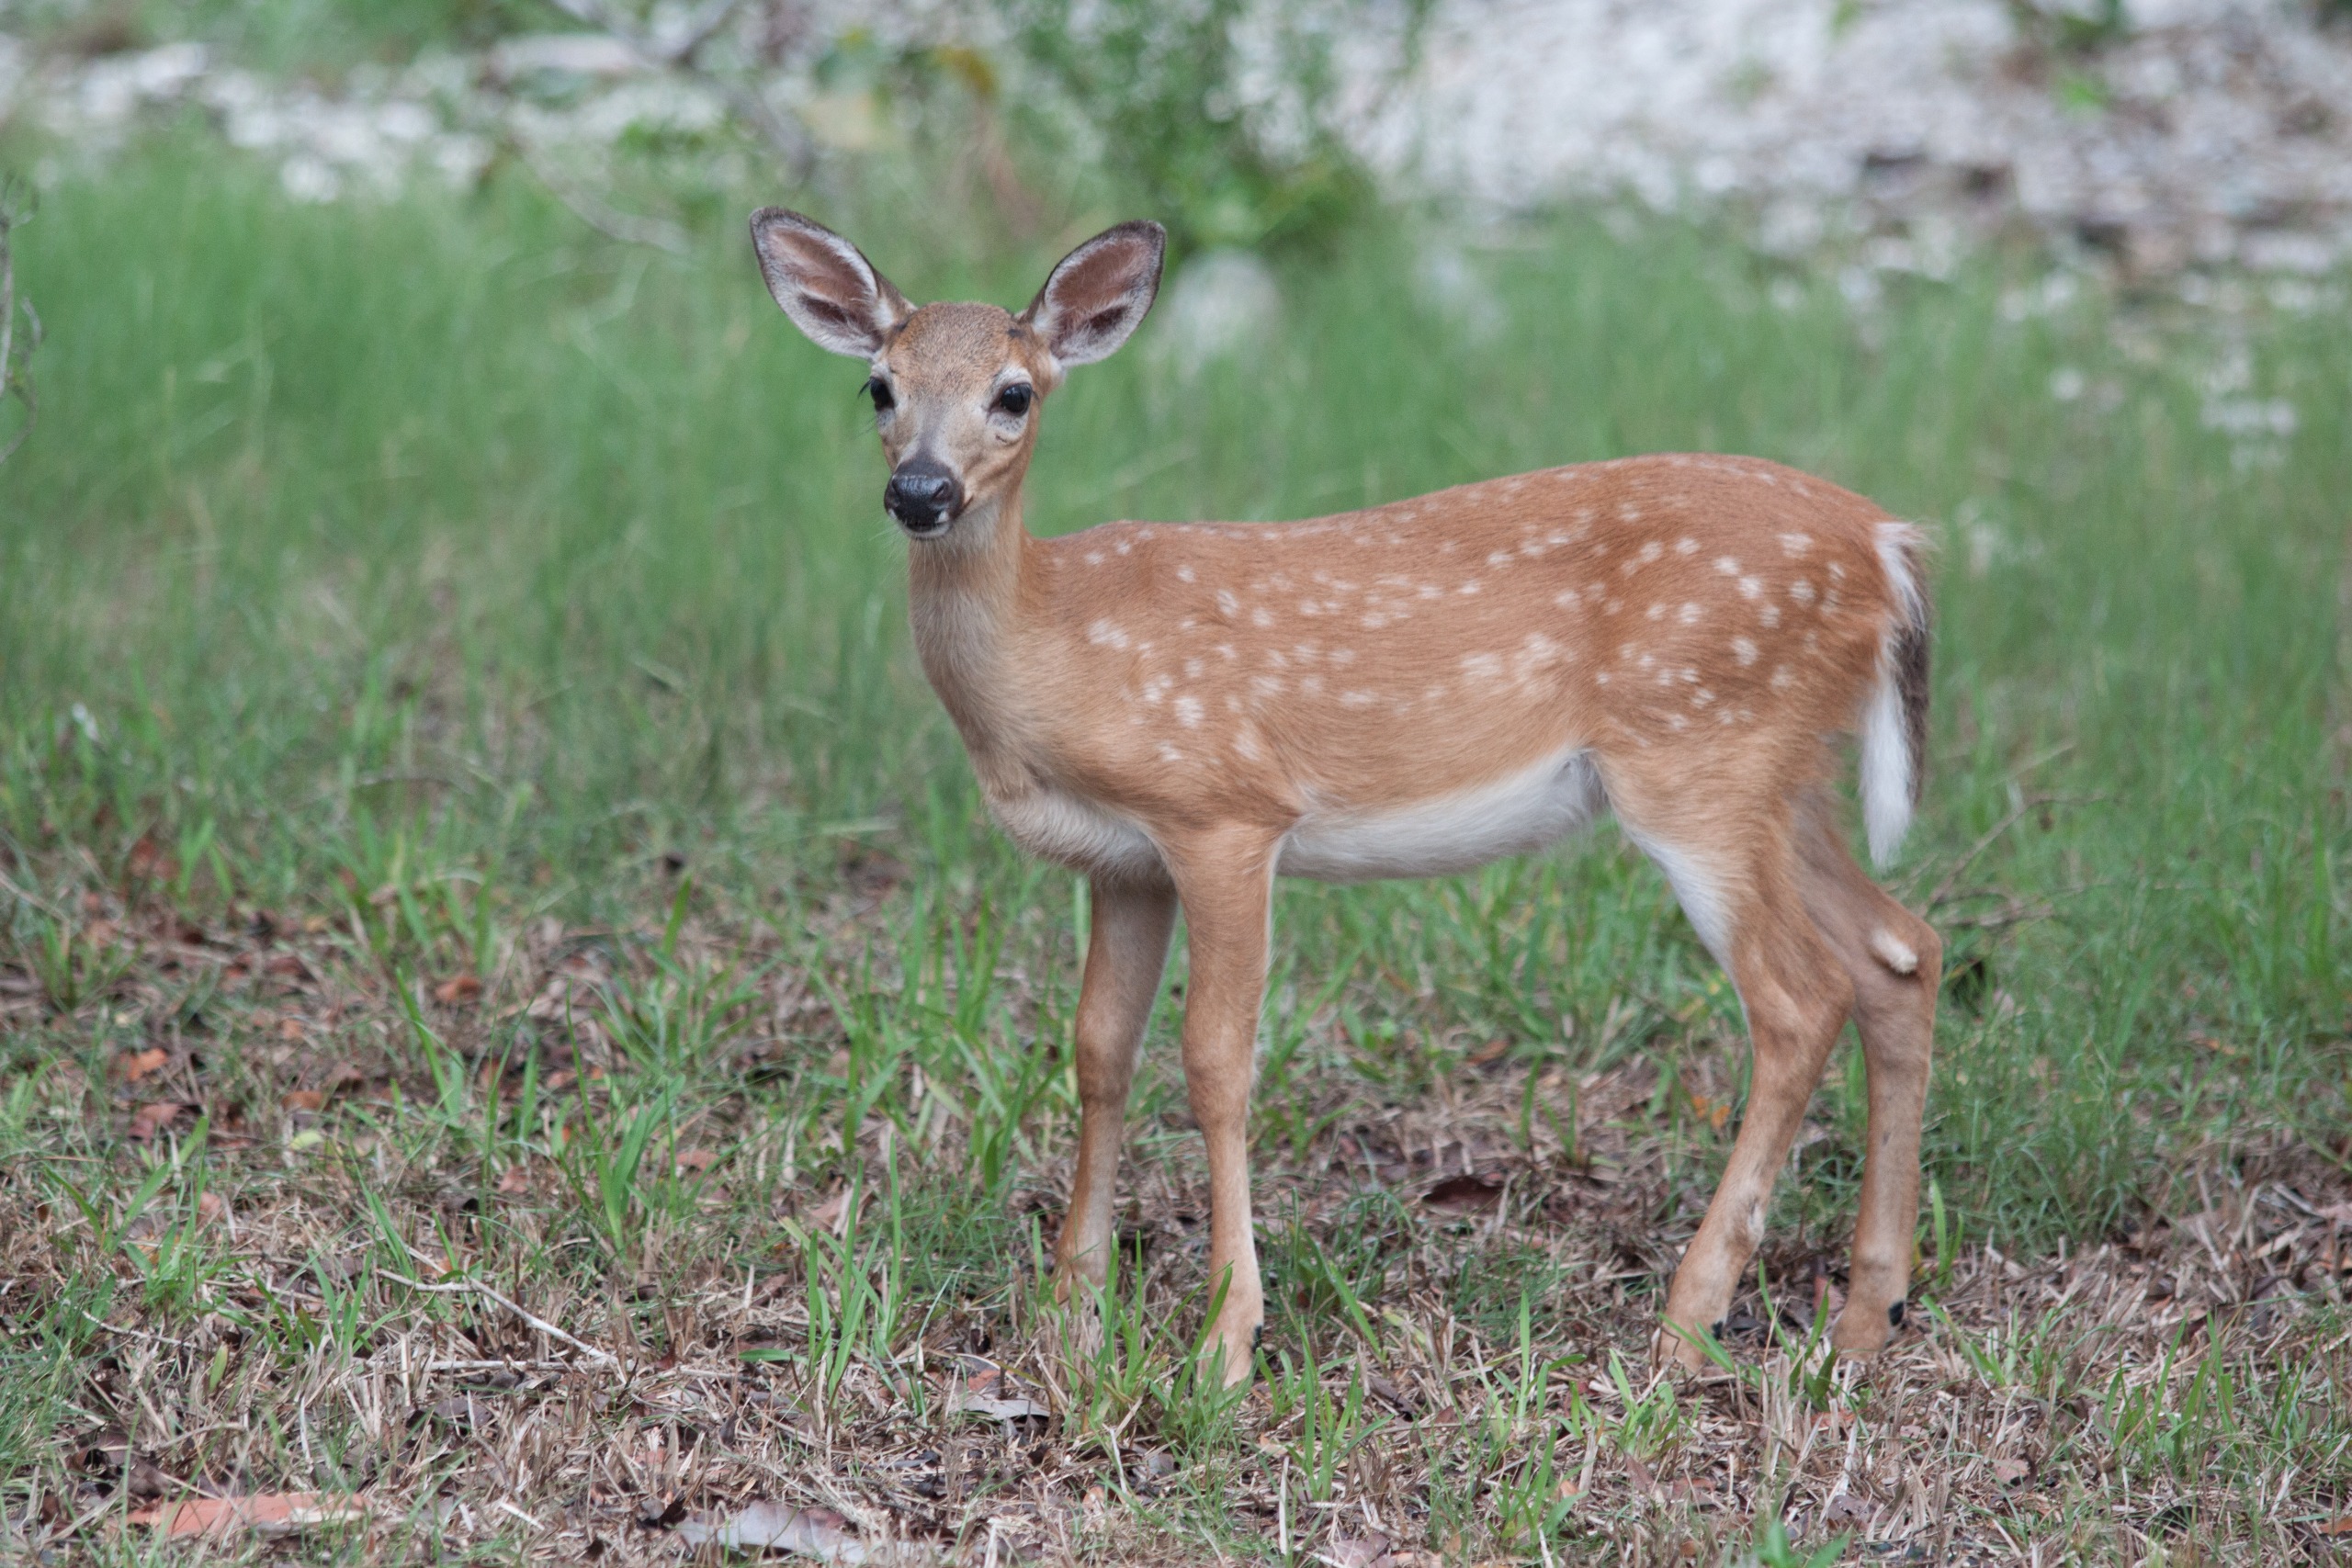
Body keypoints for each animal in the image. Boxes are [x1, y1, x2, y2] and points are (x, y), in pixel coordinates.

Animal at [749, 208, 1942, 1385]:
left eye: (1013, 392)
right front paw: (1070, 1317)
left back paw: (1688, 1321)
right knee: (1898, 952)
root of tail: (1890, 545)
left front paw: (1224, 1343)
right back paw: (1864, 1314)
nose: (921, 493)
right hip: (1779, 776)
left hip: (1696, 758)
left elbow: (1215, 1061)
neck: (1055, 646)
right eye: (878, 386)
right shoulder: (1124, 863)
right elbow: (1098, 1053)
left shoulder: (1225, 809)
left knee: (1798, 999)